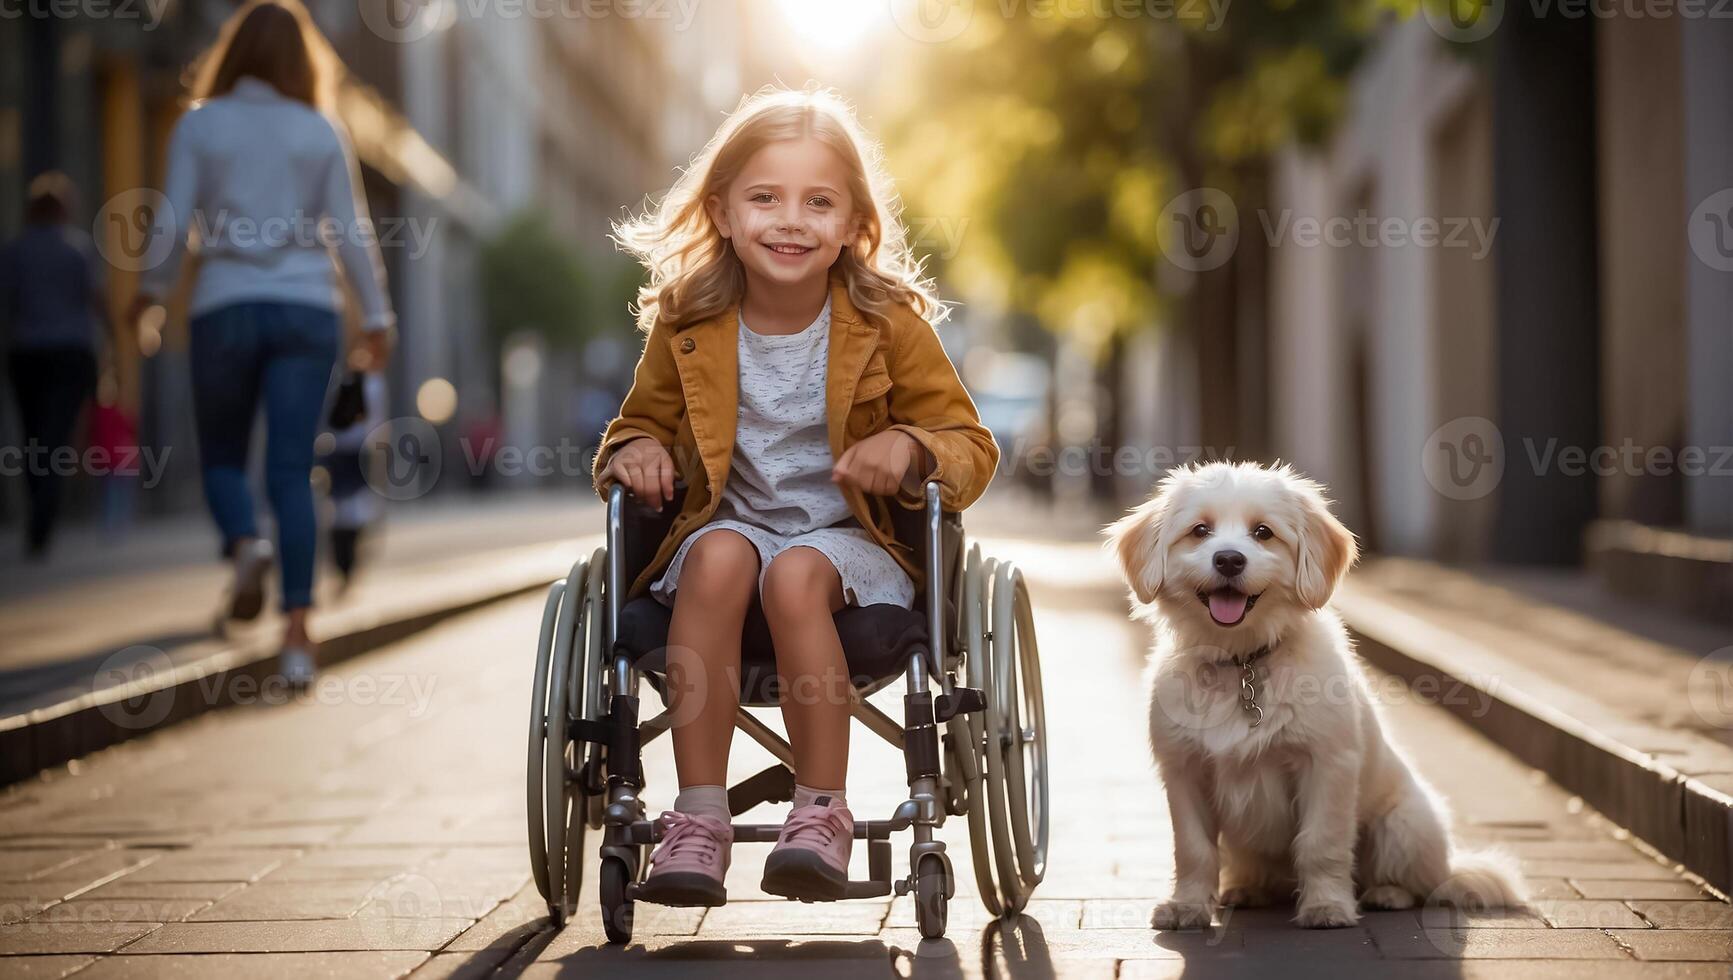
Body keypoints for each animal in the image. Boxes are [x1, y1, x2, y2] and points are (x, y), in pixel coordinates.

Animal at [1102, 461, 1525, 929]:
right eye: (1200, 531)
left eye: (1263, 532)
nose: (1229, 559)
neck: (1244, 661)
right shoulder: (1183, 771)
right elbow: (1193, 850)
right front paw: (1187, 907)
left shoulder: (1327, 765)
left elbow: (1321, 844)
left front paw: (1327, 906)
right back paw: (1247, 889)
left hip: (1405, 827)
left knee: (1423, 886)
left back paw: (1387, 894)